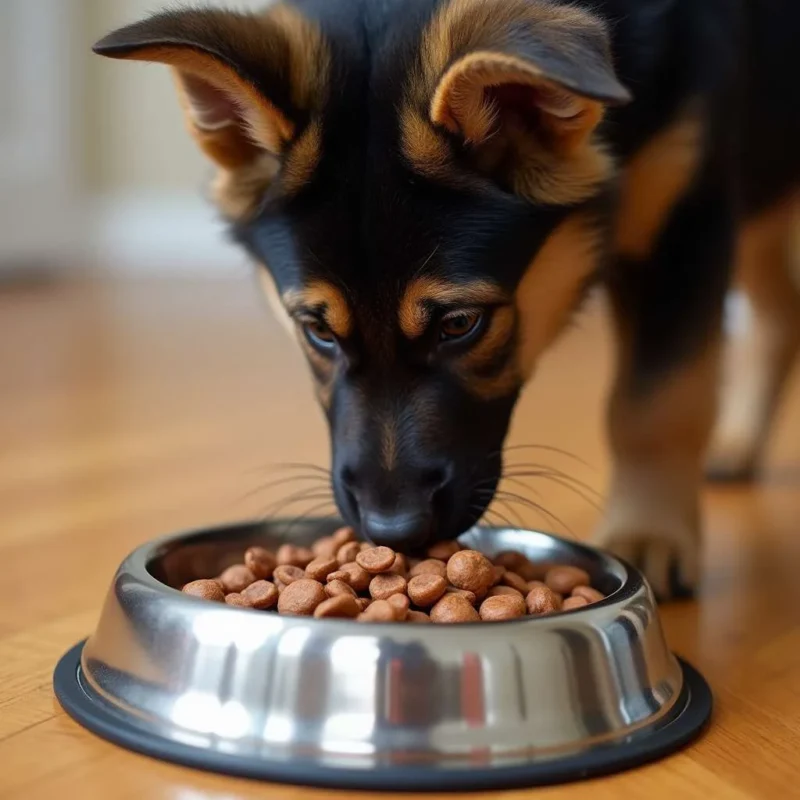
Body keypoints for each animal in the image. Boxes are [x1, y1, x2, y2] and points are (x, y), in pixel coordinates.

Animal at [95, 0, 800, 596]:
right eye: (317, 331)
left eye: (460, 324)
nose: (394, 532)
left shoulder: (687, 214)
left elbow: (657, 403)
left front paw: (647, 533)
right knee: (778, 313)